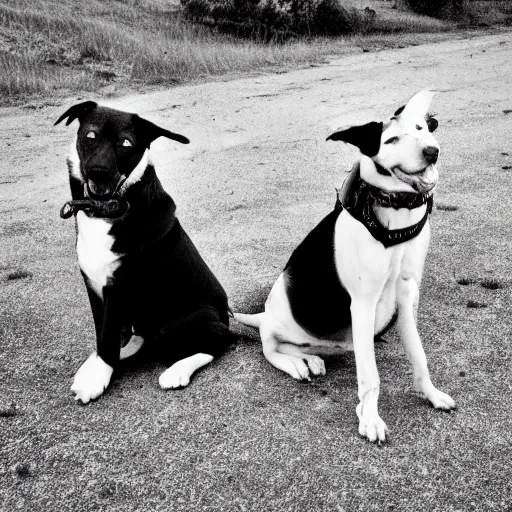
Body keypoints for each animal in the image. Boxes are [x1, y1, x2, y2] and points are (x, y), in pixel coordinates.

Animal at [54, 101, 234, 404]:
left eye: (126, 143)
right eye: (90, 135)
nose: (98, 171)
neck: (108, 211)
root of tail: (225, 318)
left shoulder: (119, 286)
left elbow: (108, 338)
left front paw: (97, 378)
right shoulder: (93, 285)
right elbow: (103, 332)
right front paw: (96, 366)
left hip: (179, 324)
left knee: (214, 344)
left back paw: (178, 371)